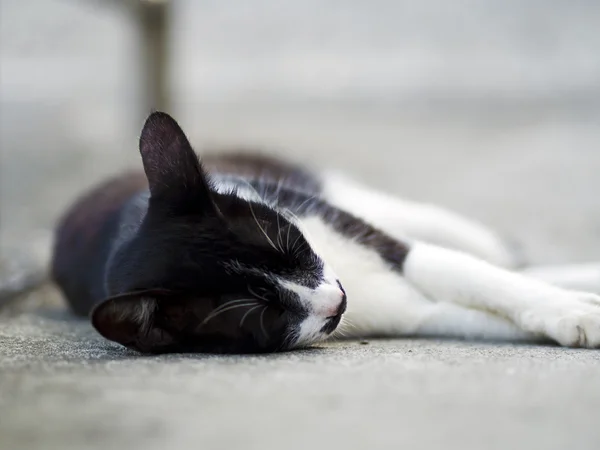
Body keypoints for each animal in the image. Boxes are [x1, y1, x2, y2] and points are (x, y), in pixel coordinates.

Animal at [49, 110, 600, 354]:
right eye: (264, 312)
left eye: (293, 246)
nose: (337, 301)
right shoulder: (408, 314)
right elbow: (460, 314)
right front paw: (570, 314)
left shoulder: (365, 236)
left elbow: (465, 272)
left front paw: (571, 308)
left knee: (481, 249)